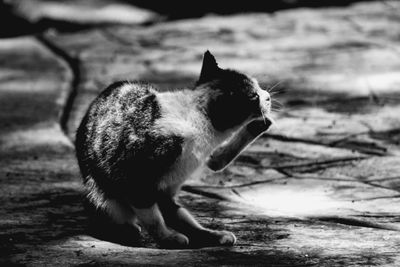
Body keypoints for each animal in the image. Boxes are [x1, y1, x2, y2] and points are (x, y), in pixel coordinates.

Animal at [76, 50, 272, 249]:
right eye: (253, 96)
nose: (268, 96)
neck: (197, 118)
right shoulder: (135, 178)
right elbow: (153, 218)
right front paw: (166, 238)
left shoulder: (198, 163)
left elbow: (216, 163)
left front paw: (261, 124)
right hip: (105, 194)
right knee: (115, 211)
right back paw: (130, 230)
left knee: (174, 212)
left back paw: (211, 235)